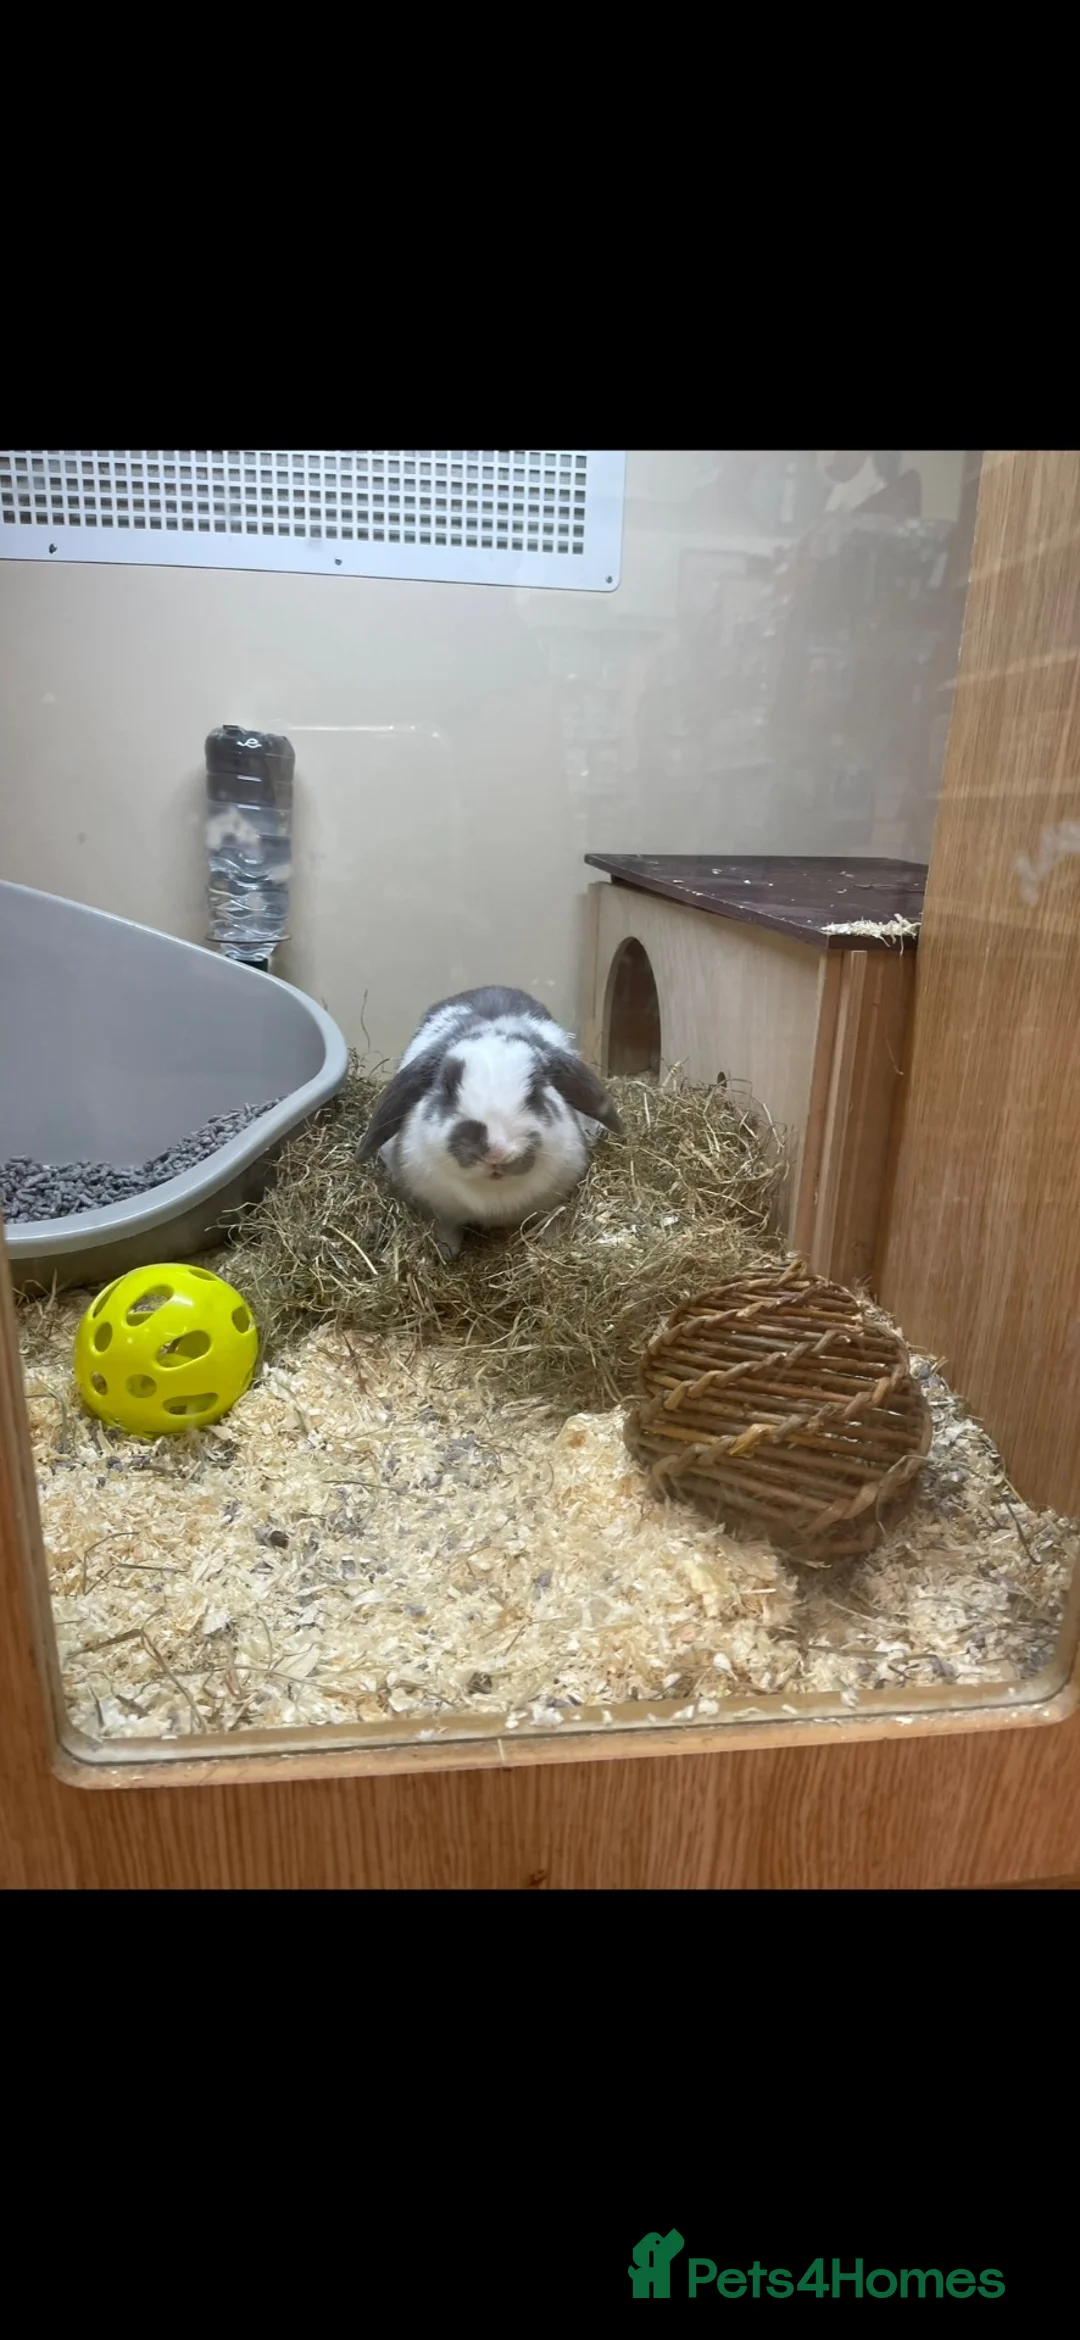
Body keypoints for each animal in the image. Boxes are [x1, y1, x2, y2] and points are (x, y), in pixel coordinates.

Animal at [355, 985, 622, 1259]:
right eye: (447, 1086)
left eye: (535, 1090)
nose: (496, 1150)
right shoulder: (439, 1210)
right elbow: (446, 1230)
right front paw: (445, 1256)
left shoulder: (551, 1203)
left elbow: (550, 1225)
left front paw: (551, 1246)